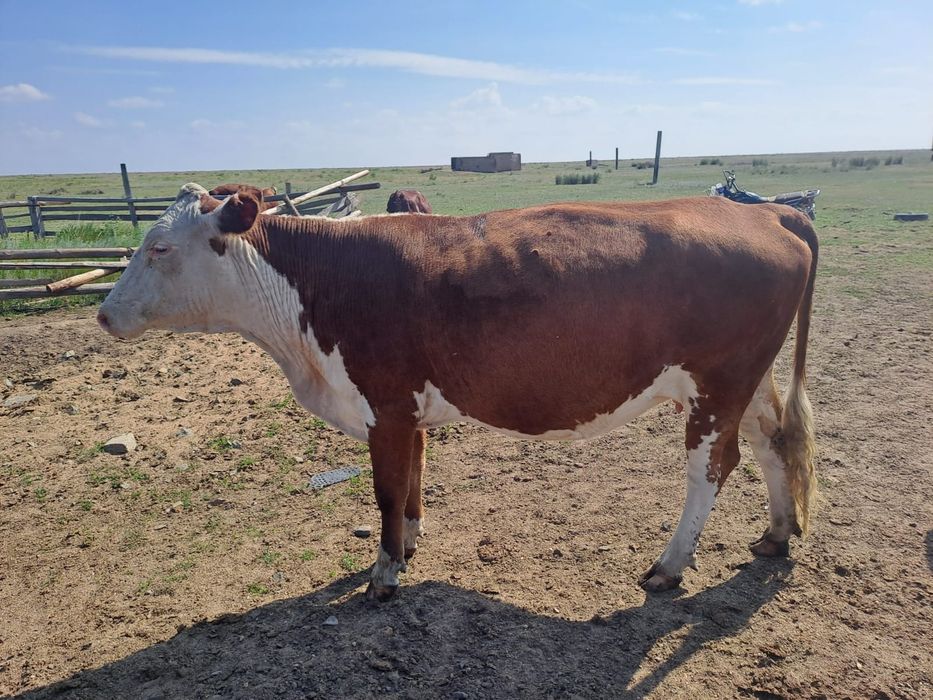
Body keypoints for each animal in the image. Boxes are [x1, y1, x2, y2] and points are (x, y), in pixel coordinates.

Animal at [98, 184, 818, 601]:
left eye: (158, 247)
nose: (103, 313)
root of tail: (766, 209)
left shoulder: (384, 405)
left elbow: (388, 490)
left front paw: (384, 574)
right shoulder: (407, 409)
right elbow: (413, 480)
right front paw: (409, 546)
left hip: (716, 385)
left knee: (712, 468)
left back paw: (669, 565)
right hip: (748, 382)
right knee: (773, 444)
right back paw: (777, 534)